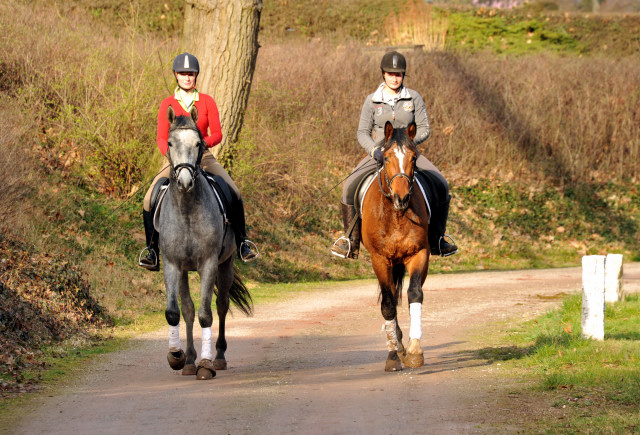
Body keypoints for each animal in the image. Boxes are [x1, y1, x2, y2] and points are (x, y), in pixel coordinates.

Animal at [158, 105, 252, 382]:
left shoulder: (208, 264)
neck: (187, 210)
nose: (185, 182)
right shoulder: (173, 265)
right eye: (170, 142)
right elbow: (176, 312)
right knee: (188, 310)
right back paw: (189, 360)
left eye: (198, 143)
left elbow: (206, 314)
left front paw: (206, 364)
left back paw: (219, 357)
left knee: (221, 307)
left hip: (226, 263)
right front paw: (177, 357)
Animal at [362, 122, 428, 372]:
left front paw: (415, 349)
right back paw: (396, 345)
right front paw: (392, 356)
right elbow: (388, 305)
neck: (397, 215)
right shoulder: (380, 259)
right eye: (387, 157)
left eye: (414, 157)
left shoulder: (419, 253)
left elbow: (414, 294)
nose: (402, 197)